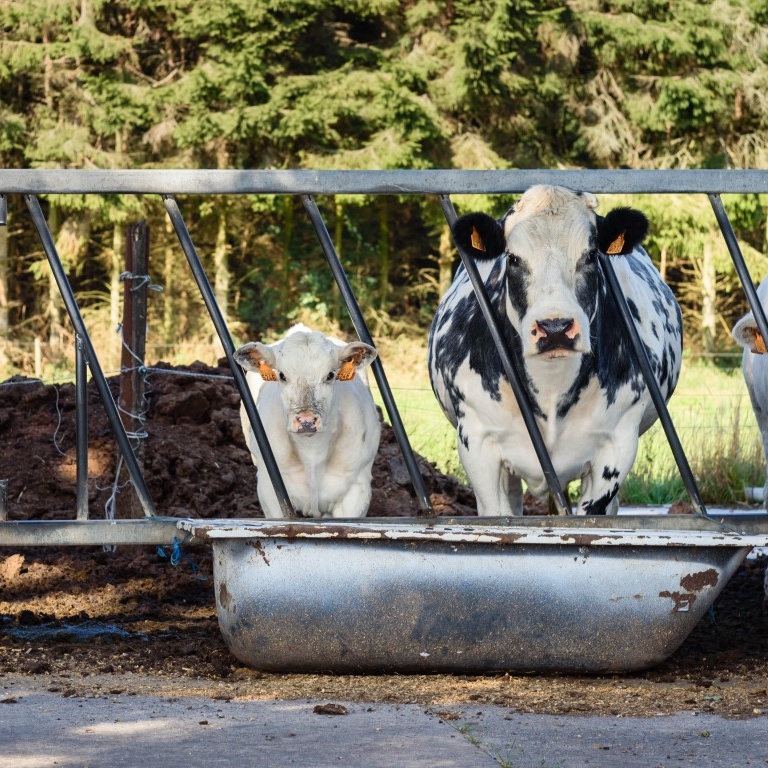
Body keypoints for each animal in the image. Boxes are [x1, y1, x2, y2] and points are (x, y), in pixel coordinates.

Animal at [234, 324, 381, 519]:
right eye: (282, 375)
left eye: (330, 374)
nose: (306, 421)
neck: (312, 452)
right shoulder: (269, 490)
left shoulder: (357, 490)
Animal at [428, 185, 683, 516]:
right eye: (513, 258)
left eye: (590, 255)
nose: (555, 328)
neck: (551, 387)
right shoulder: (477, 441)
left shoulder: (617, 444)